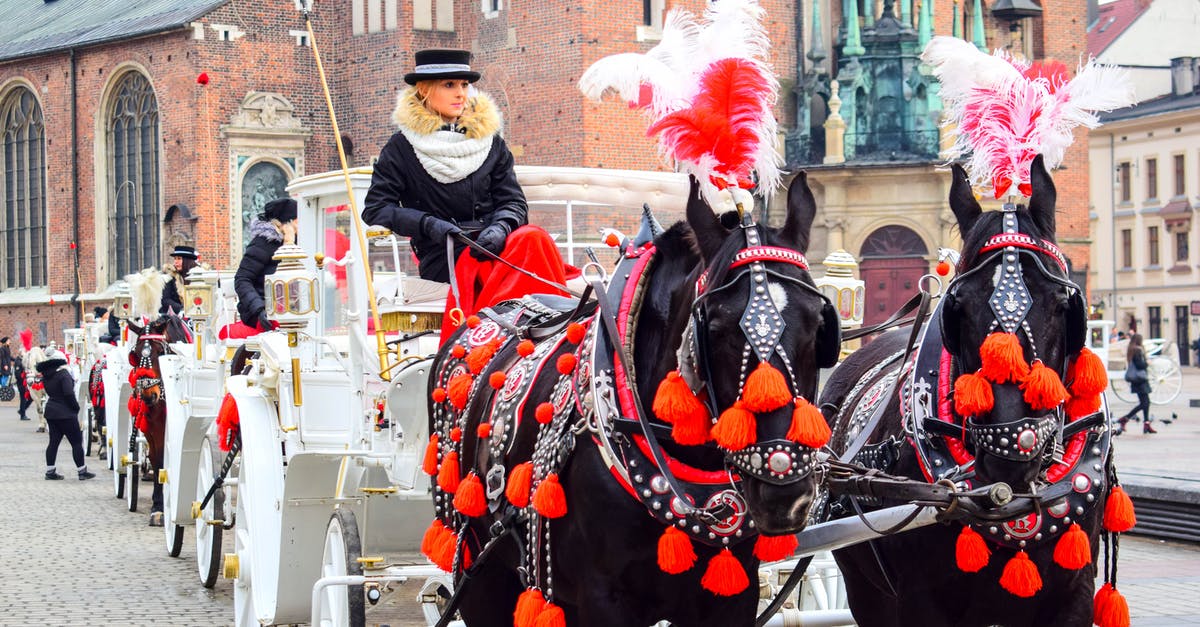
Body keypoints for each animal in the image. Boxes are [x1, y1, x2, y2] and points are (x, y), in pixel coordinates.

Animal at [127, 309, 190, 521]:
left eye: (160, 352)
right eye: (135, 355)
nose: (148, 395)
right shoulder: (152, 429)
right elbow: (157, 460)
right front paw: (158, 505)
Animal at [422, 171, 844, 624]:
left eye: (818, 323)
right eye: (714, 328)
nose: (784, 495)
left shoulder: (733, 595)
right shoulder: (602, 598)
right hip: (480, 568)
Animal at [820, 157, 1118, 624]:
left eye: (1061, 302)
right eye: (957, 305)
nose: (1013, 447)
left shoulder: (1075, 594)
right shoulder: (919, 600)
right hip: (866, 589)